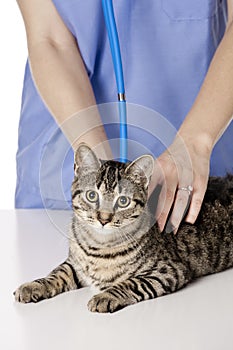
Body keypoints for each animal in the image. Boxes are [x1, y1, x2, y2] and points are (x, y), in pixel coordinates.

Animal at [14, 144, 233, 314]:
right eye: (92, 196)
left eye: (123, 201)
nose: (103, 218)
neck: (98, 246)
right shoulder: (74, 265)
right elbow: (56, 273)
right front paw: (33, 285)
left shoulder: (168, 270)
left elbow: (131, 283)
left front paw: (105, 296)